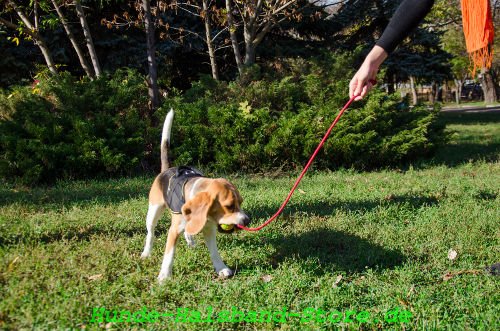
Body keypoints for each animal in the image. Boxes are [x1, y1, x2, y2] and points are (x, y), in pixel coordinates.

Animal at [141, 109, 250, 282]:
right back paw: (146, 252)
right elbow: (169, 255)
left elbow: (214, 252)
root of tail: (166, 170)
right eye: (229, 206)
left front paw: (221, 268)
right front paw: (164, 276)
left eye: (241, 202)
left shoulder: (210, 229)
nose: (247, 220)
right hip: (153, 211)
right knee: (150, 233)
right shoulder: (173, 231)